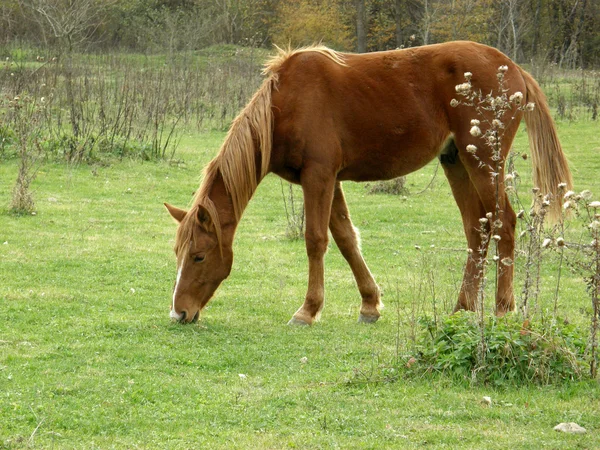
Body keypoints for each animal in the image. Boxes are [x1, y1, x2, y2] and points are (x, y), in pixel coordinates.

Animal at [164, 41, 572, 324]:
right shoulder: (329, 180)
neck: (286, 105)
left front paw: (308, 310)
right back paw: (462, 306)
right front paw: (370, 304)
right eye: (178, 255)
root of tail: (514, 69)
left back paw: (503, 307)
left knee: (504, 222)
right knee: (477, 229)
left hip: (484, 162)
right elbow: (346, 238)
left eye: (199, 255)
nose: (179, 313)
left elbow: (316, 240)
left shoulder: (319, 176)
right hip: (457, 161)